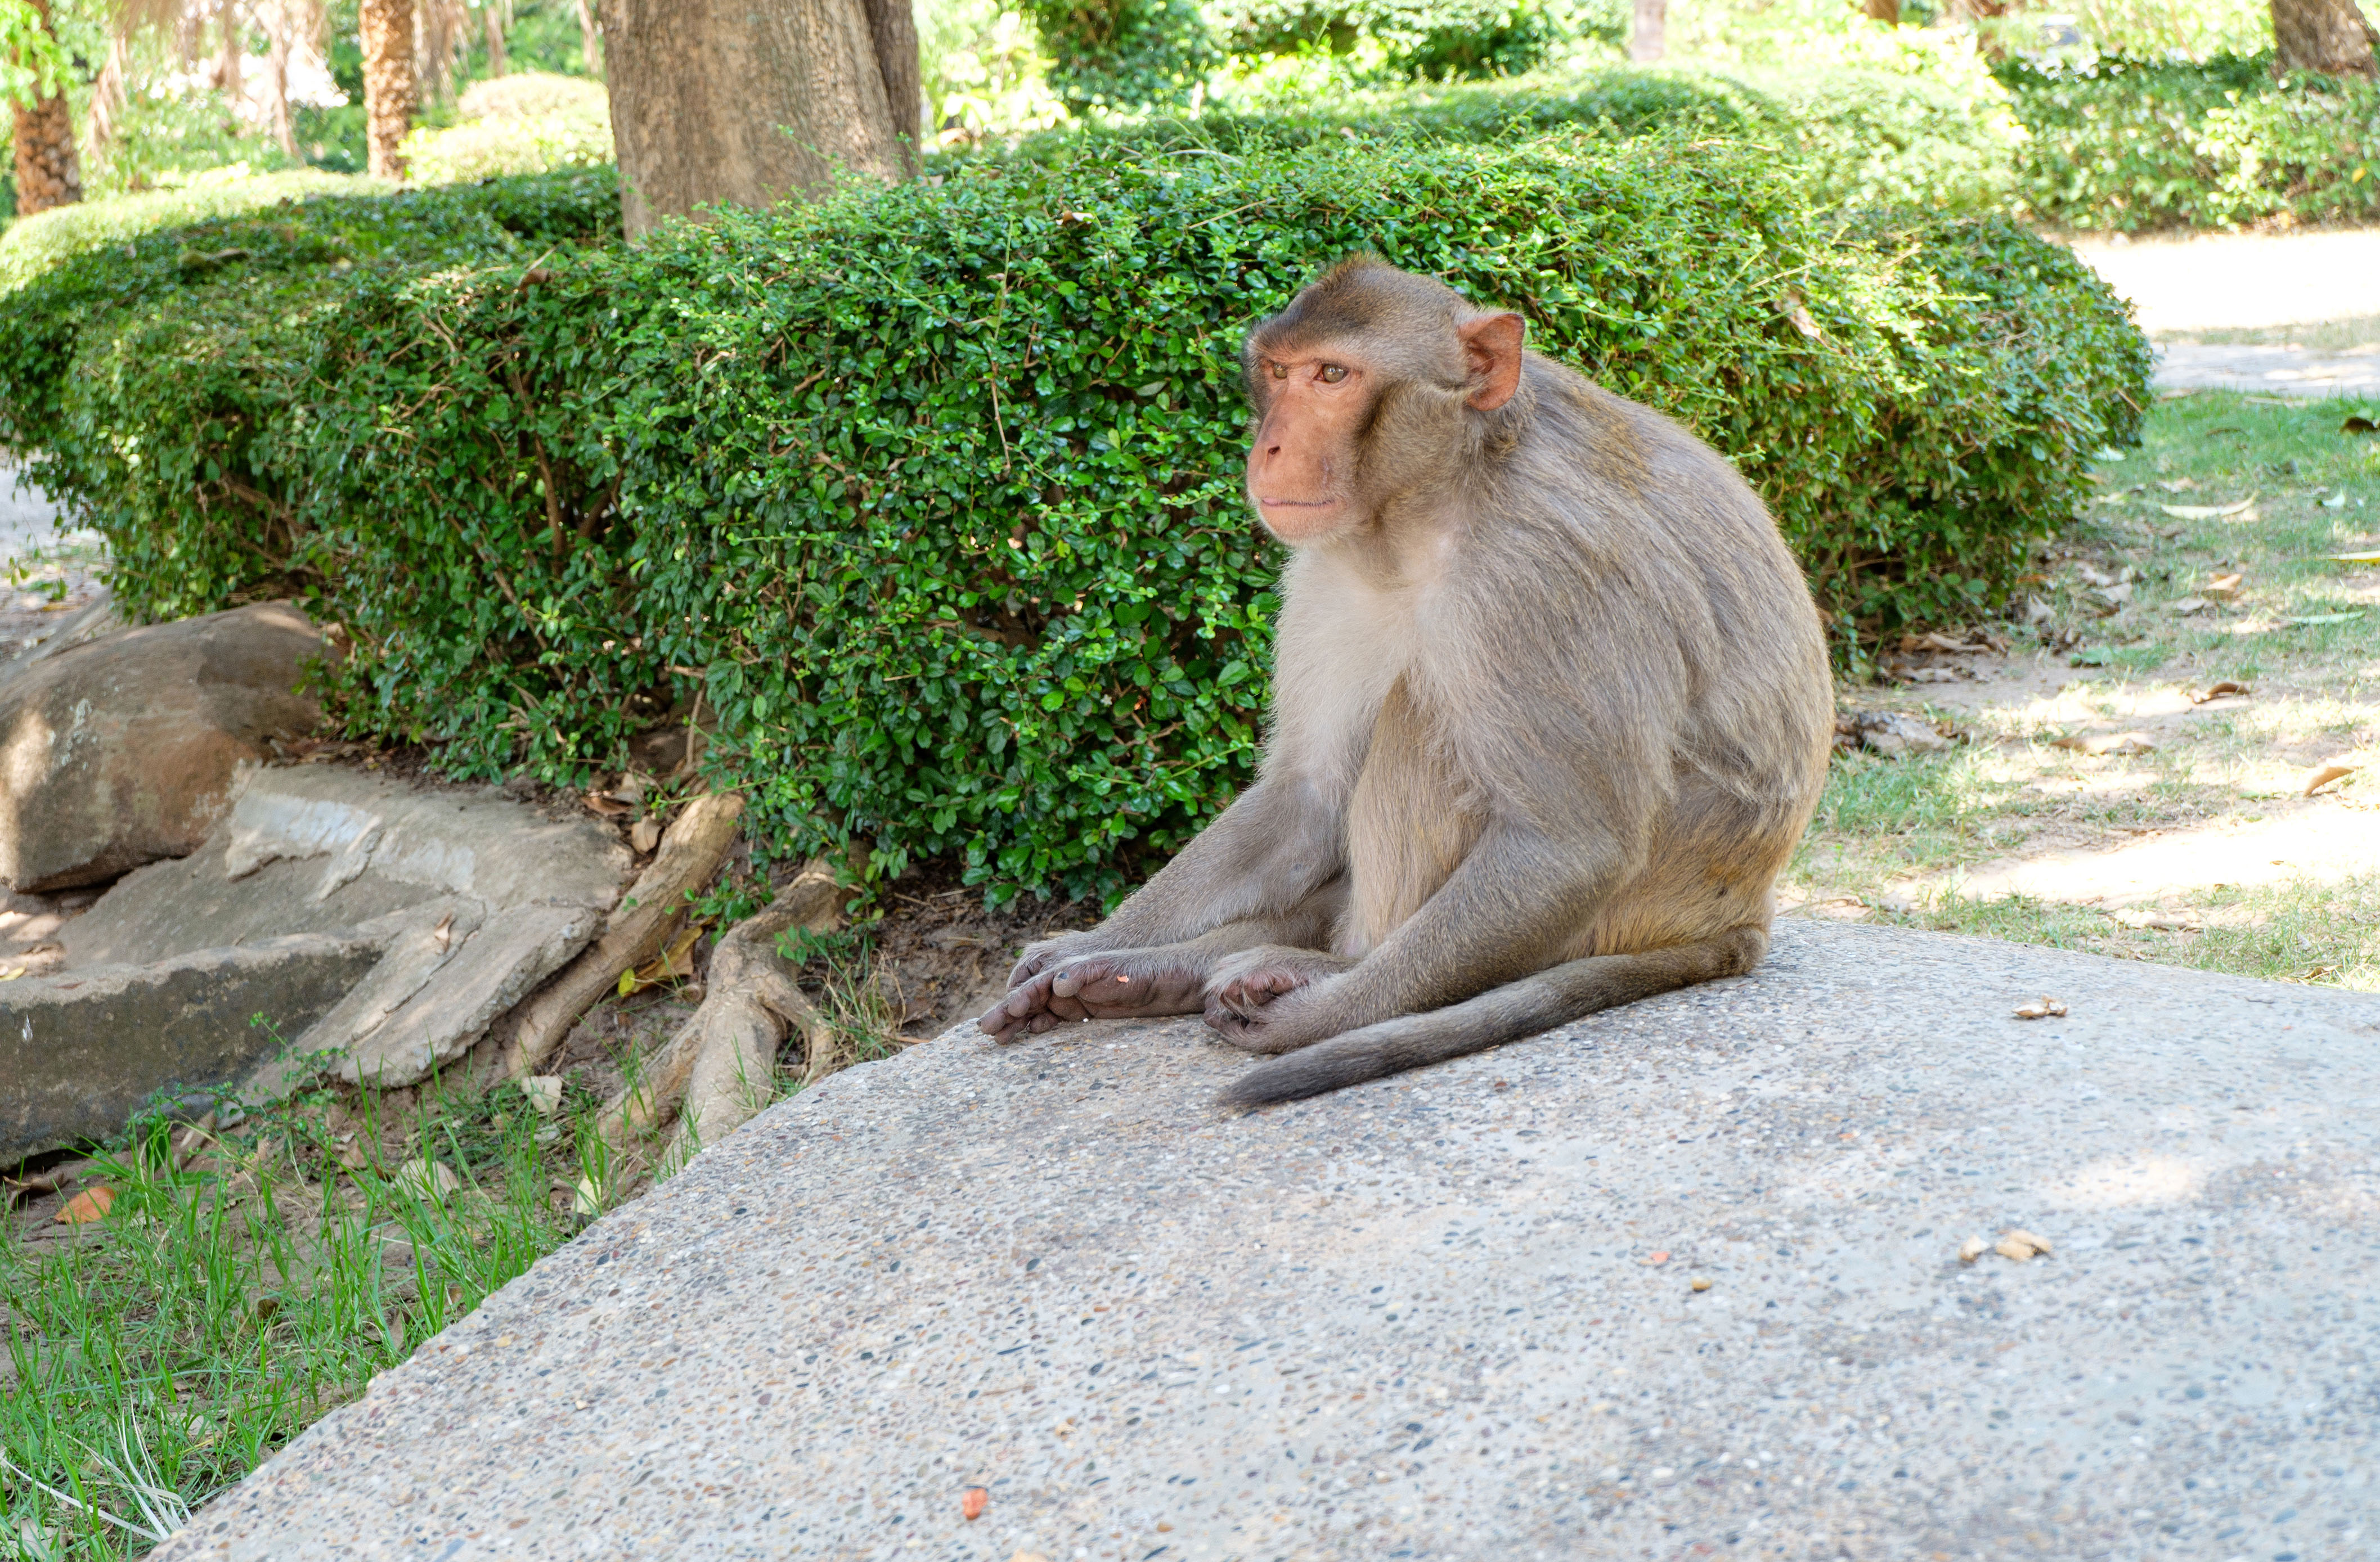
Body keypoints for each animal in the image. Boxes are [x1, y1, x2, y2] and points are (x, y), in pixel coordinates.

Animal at [976, 255, 1827, 1103]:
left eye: (1332, 375)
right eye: (1279, 373)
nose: (1269, 448)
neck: (1428, 505)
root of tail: (1744, 915)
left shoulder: (1542, 574)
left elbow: (1571, 844)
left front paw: (1322, 1013)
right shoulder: (1324, 567)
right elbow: (1308, 793)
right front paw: (1095, 943)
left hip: (1611, 916)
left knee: (1424, 707)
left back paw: (1320, 968)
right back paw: (1144, 975)